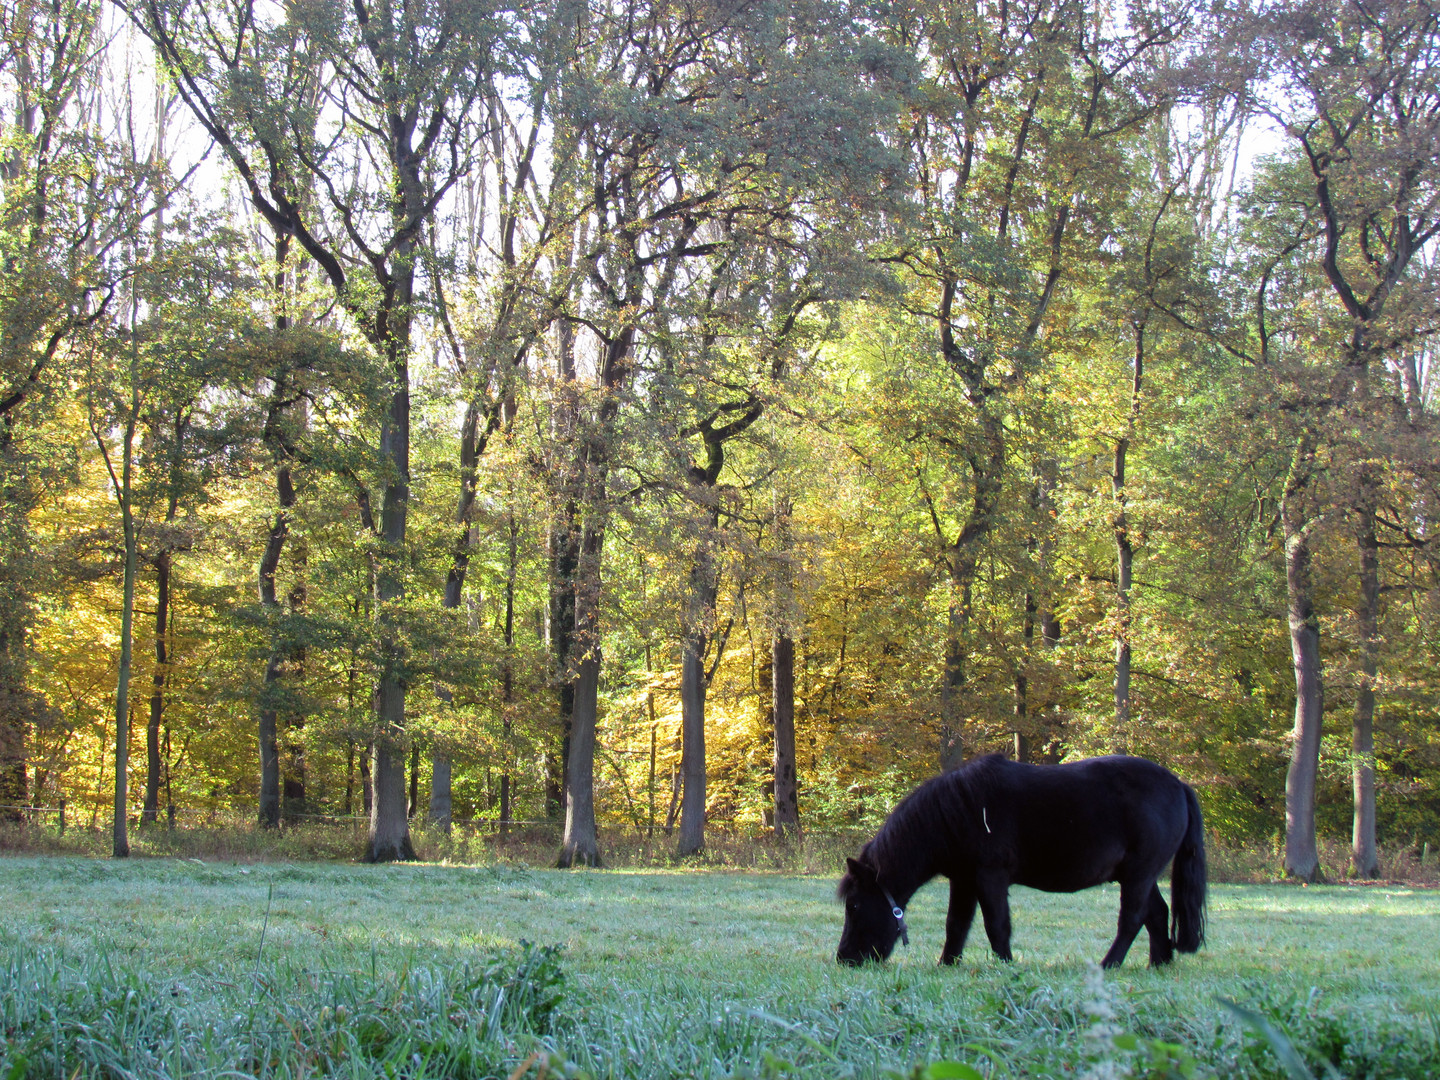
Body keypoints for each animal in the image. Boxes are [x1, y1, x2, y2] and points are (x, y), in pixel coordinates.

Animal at [835, 754, 1203, 973]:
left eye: (854, 906)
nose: (845, 959)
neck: (957, 812)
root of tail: (1179, 785)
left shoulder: (990, 877)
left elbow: (996, 925)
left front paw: (1005, 964)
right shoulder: (964, 880)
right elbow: (956, 925)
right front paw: (947, 964)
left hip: (1138, 876)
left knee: (1132, 920)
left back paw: (1108, 964)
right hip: (1140, 876)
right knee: (1157, 914)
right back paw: (1159, 963)